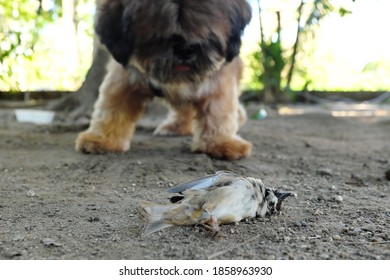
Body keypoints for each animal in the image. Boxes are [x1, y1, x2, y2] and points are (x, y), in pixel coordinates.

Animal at [76, 0, 253, 161]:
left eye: (207, 32)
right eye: (157, 35)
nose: (184, 50)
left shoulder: (218, 79)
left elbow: (218, 110)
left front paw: (221, 142)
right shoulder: (124, 77)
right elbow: (113, 106)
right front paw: (102, 138)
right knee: (183, 108)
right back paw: (177, 126)